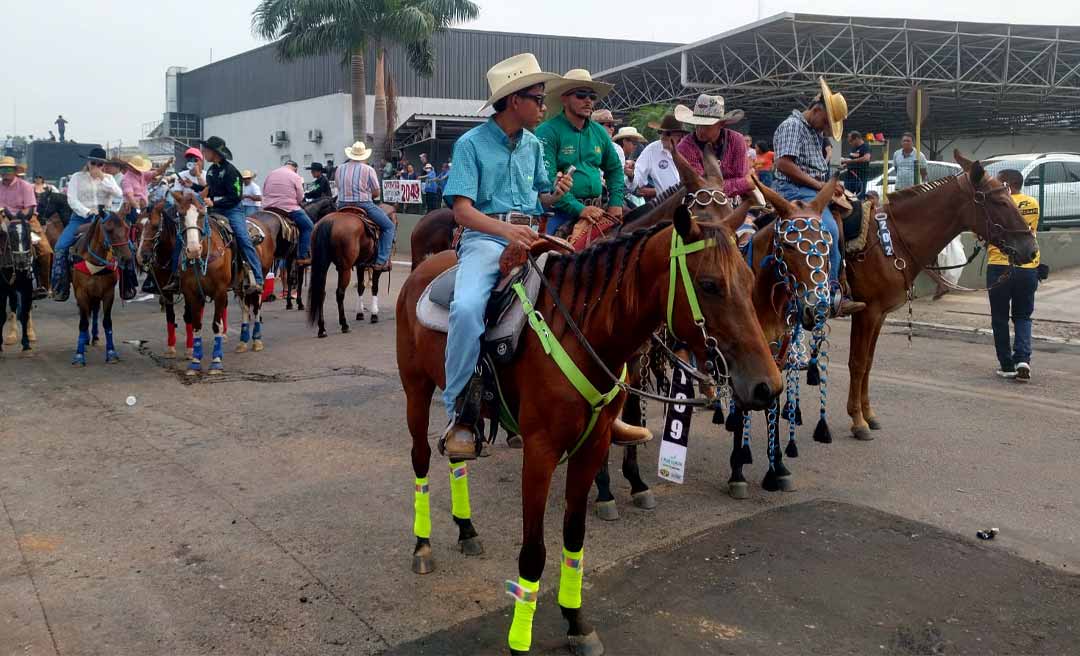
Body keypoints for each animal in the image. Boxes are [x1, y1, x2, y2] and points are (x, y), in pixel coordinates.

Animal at [395, 198, 777, 652]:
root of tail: (425, 266)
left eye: (750, 280)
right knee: (420, 459)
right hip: (416, 390)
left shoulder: (592, 446)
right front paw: (520, 637)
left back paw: (467, 529)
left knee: (457, 455)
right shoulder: (540, 452)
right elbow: (534, 551)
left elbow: (574, 537)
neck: (582, 330)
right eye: (709, 284)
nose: (768, 385)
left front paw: (576, 622)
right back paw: (422, 546)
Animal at [842, 152, 1036, 440]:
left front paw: (868, 415)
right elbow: (857, 363)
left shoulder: (878, 315)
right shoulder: (867, 312)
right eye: (1001, 201)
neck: (890, 243)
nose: (1031, 249)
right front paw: (857, 421)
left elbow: (867, 363)